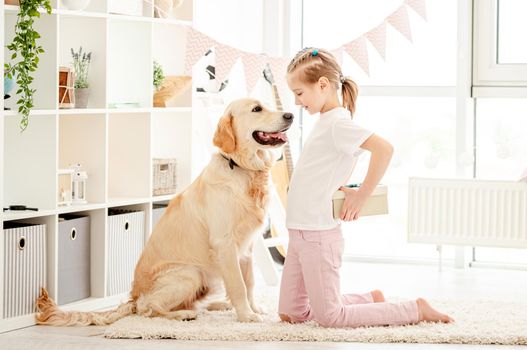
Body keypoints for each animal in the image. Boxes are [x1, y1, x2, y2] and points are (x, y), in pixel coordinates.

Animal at [36, 98, 292, 326]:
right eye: (257, 109)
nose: (290, 115)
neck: (242, 168)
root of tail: (133, 297)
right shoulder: (225, 243)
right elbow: (238, 284)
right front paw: (247, 316)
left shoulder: (247, 245)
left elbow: (249, 282)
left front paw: (254, 309)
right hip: (190, 273)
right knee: (148, 309)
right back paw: (183, 315)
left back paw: (217, 305)